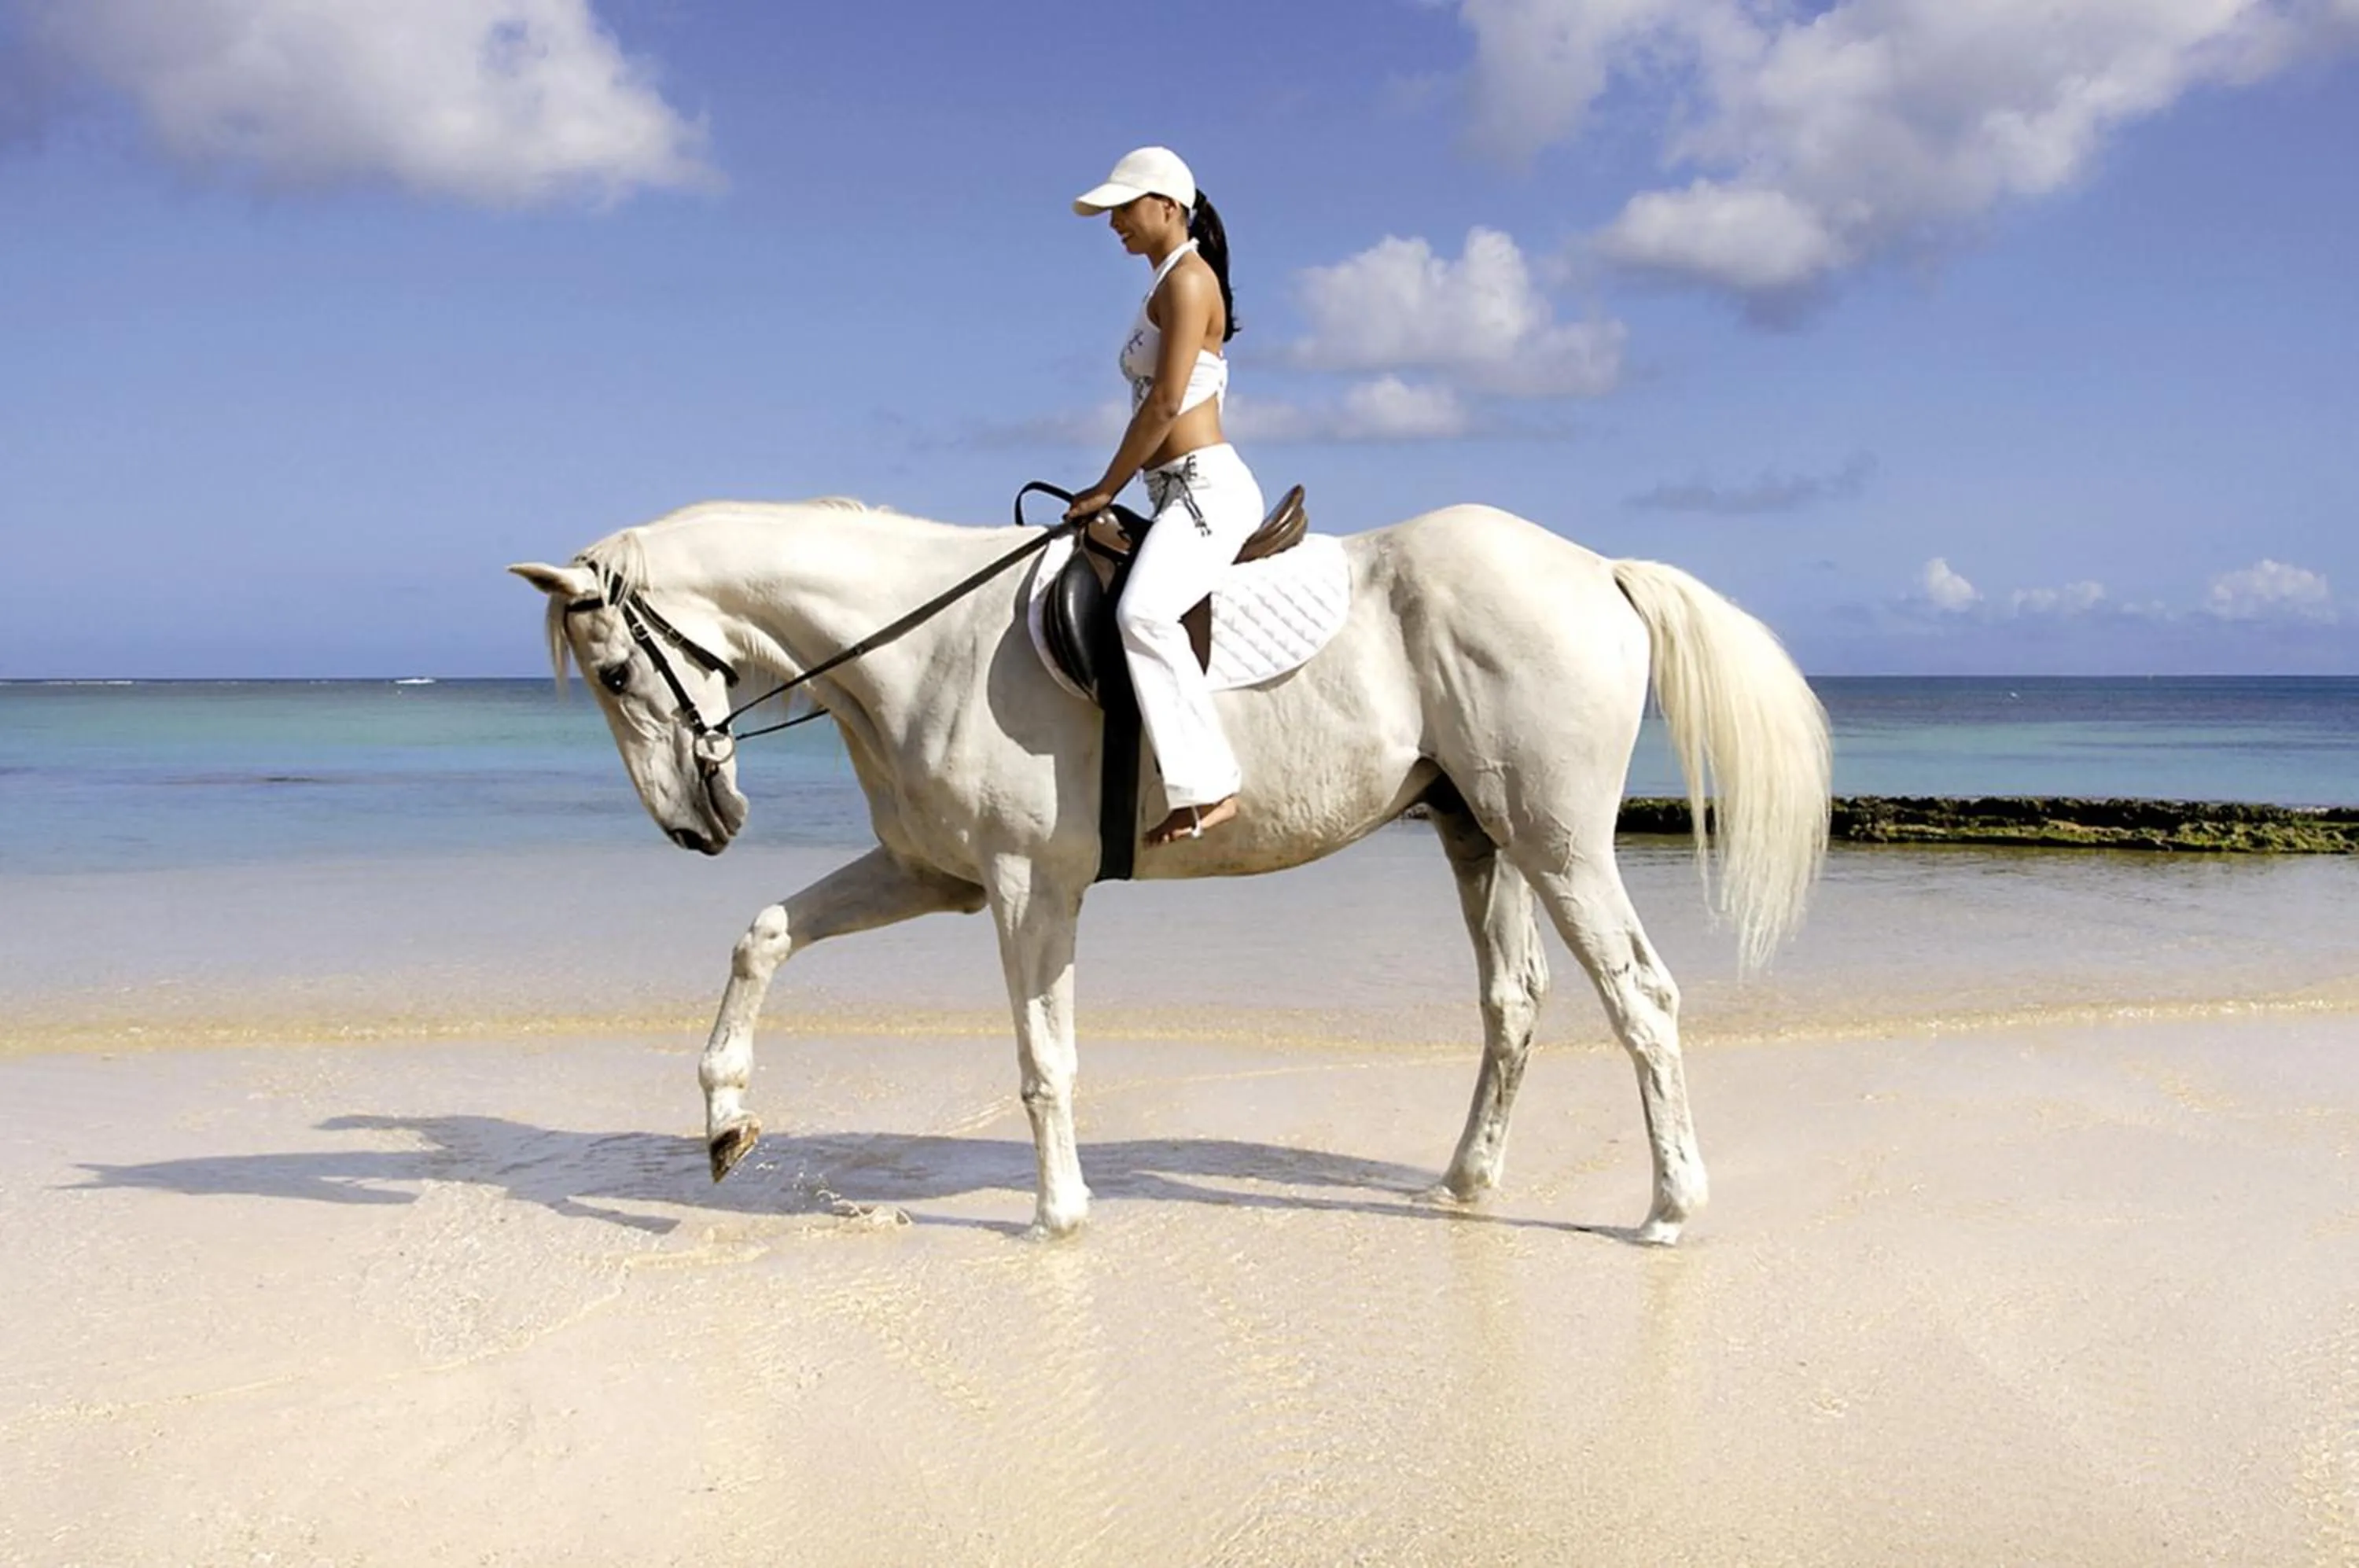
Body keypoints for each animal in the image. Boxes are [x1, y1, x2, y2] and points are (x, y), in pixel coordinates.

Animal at [510, 496, 1830, 1245]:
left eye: (617, 673)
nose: (696, 823)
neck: (928, 641)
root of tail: (1597, 568)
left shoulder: (1025, 887)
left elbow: (1043, 1059)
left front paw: (1057, 1214)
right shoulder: (929, 873)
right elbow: (767, 933)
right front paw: (726, 1118)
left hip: (1556, 843)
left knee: (1641, 999)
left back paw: (1668, 1209)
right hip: (1482, 841)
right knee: (1515, 1003)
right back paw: (1465, 1184)